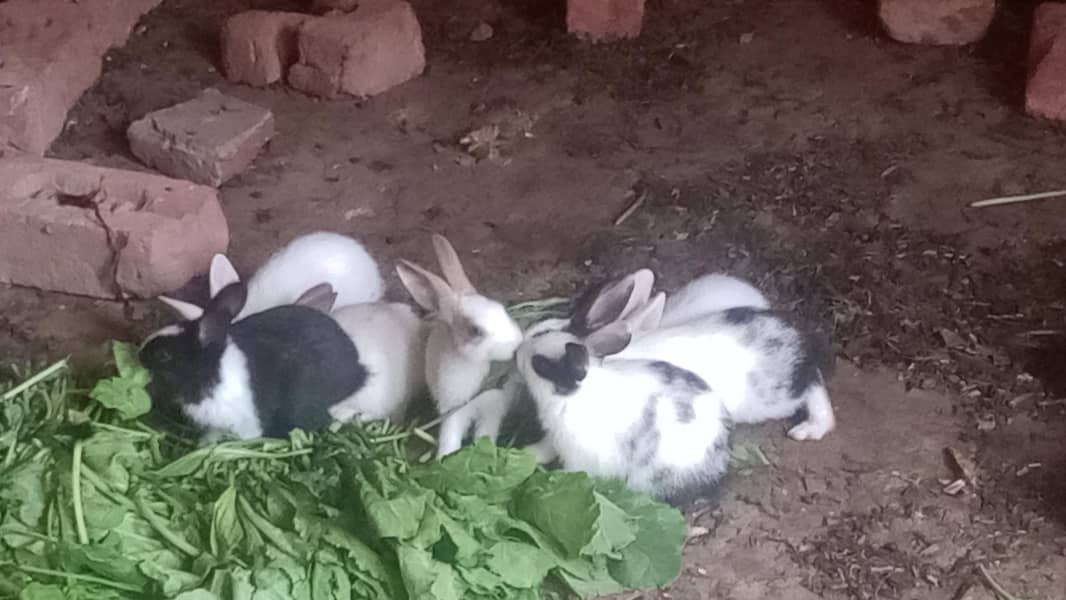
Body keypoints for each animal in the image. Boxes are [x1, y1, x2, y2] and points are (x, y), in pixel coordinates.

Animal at [395, 234, 523, 458]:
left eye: (502, 309)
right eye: (475, 330)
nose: (517, 345)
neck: (469, 366)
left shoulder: (492, 407)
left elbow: (485, 434)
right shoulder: (452, 410)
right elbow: (450, 437)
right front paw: (444, 457)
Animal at [515, 323, 732, 506]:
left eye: (540, 364)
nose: (517, 354)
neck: (574, 397)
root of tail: (722, 455)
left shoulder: (579, 459)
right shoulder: (553, 439)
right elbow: (544, 449)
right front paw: (527, 453)